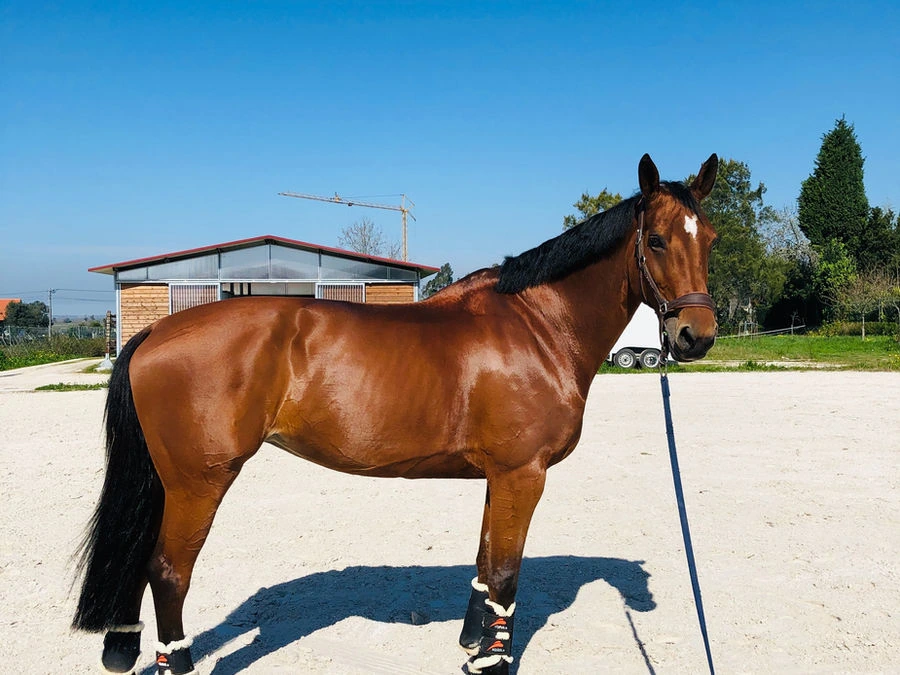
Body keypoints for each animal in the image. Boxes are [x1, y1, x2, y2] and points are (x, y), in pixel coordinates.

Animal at [73, 153, 718, 675]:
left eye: (709, 238)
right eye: (657, 240)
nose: (696, 336)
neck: (538, 327)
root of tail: (157, 329)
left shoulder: (499, 477)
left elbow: (486, 561)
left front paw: (474, 642)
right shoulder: (522, 474)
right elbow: (506, 573)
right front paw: (494, 660)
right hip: (198, 480)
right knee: (167, 570)